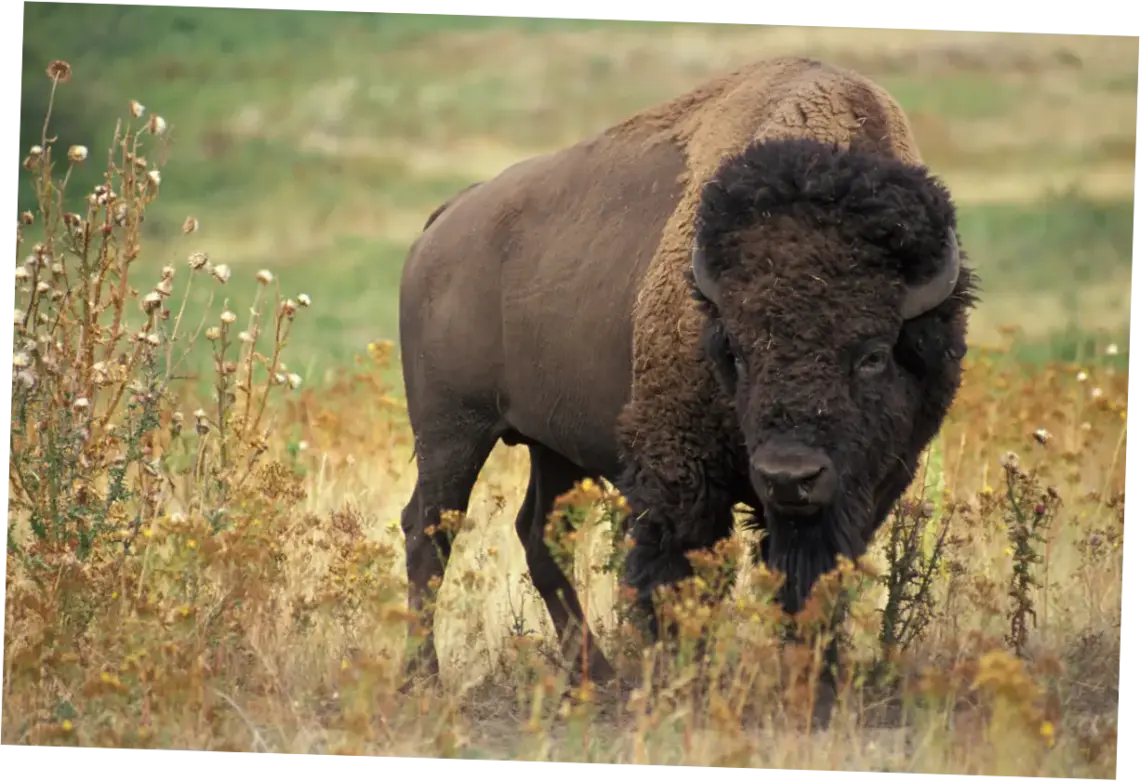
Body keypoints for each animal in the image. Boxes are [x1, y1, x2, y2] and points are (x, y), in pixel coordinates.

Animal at [396, 56, 977, 711]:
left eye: (874, 355)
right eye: (737, 352)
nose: (789, 476)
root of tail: (444, 222)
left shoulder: (867, 484)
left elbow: (814, 578)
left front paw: (815, 684)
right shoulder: (679, 472)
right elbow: (679, 574)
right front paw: (684, 680)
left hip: (551, 445)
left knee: (537, 533)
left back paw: (596, 675)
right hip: (452, 432)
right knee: (429, 532)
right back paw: (424, 680)